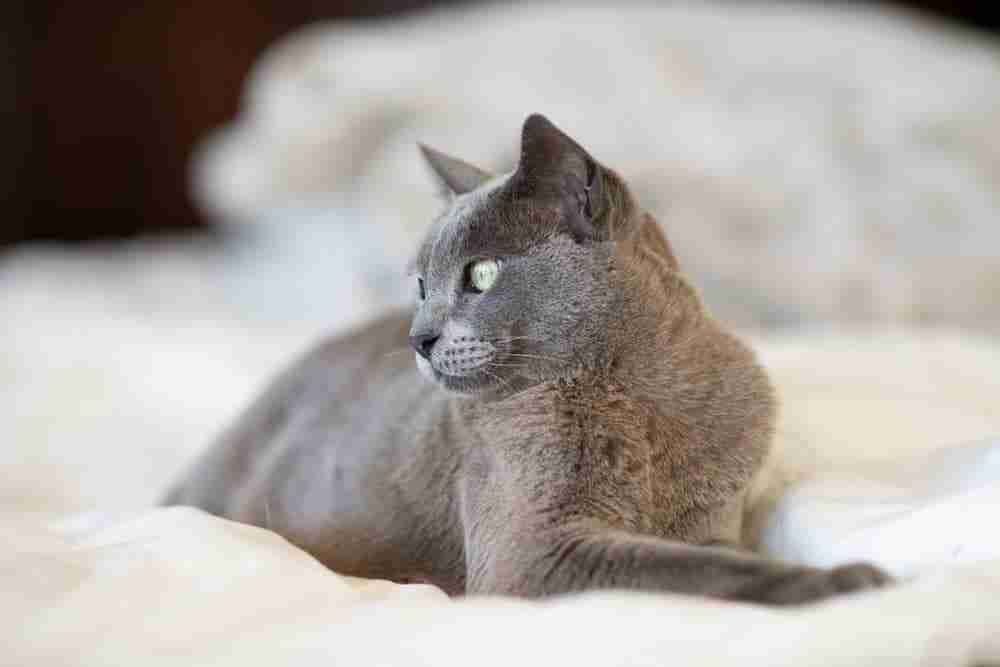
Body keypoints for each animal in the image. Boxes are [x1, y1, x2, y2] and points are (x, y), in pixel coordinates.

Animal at [166, 115, 892, 604]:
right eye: (421, 285)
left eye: (481, 274)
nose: (417, 337)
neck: (645, 399)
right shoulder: (534, 552)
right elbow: (694, 568)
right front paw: (846, 580)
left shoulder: (714, 518)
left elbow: (711, 556)